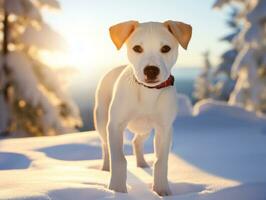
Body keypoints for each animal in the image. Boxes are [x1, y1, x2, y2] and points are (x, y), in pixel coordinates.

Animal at [94, 20, 192, 195]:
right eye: (137, 48)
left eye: (165, 48)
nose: (151, 70)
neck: (148, 93)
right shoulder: (115, 126)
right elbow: (118, 159)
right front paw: (117, 190)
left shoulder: (164, 129)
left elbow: (161, 161)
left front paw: (162, 190)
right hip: (101, 122)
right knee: (105, 146)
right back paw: (105, 167)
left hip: (145, 128)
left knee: (136, 142)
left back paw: (142, 164)